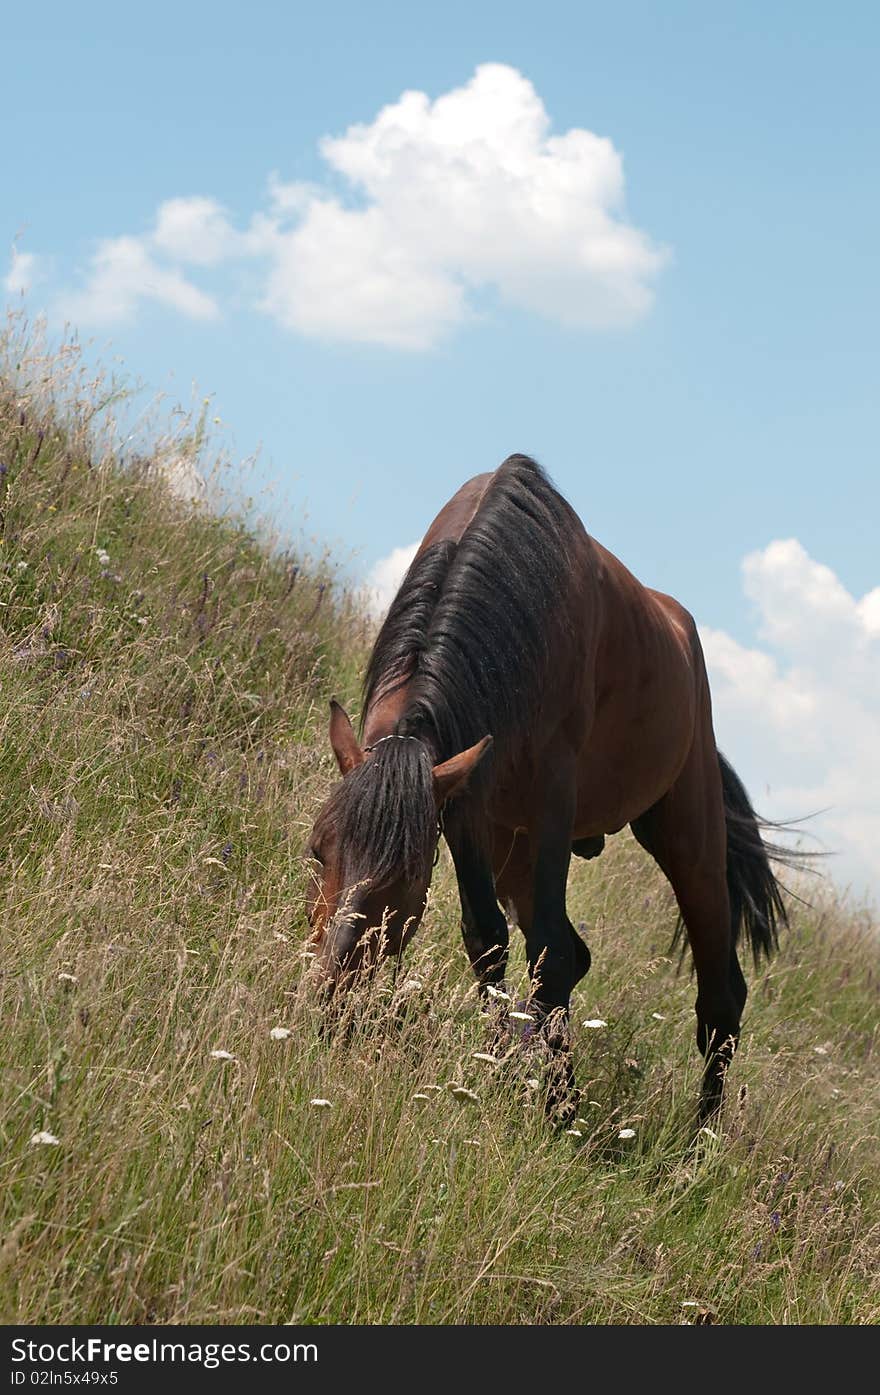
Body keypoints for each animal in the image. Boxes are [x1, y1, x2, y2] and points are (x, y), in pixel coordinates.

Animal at [308, 457, 792, 1121]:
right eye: (316, 851)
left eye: (404, 877)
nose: (330, 1001)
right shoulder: (466, 805)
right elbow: (489, 940)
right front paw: (512, 1072)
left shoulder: (549, 807)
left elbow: (548, 954)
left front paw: (554, 1106)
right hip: (512, 841)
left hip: (685, 835)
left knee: (720, 997)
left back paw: (699, 1136)